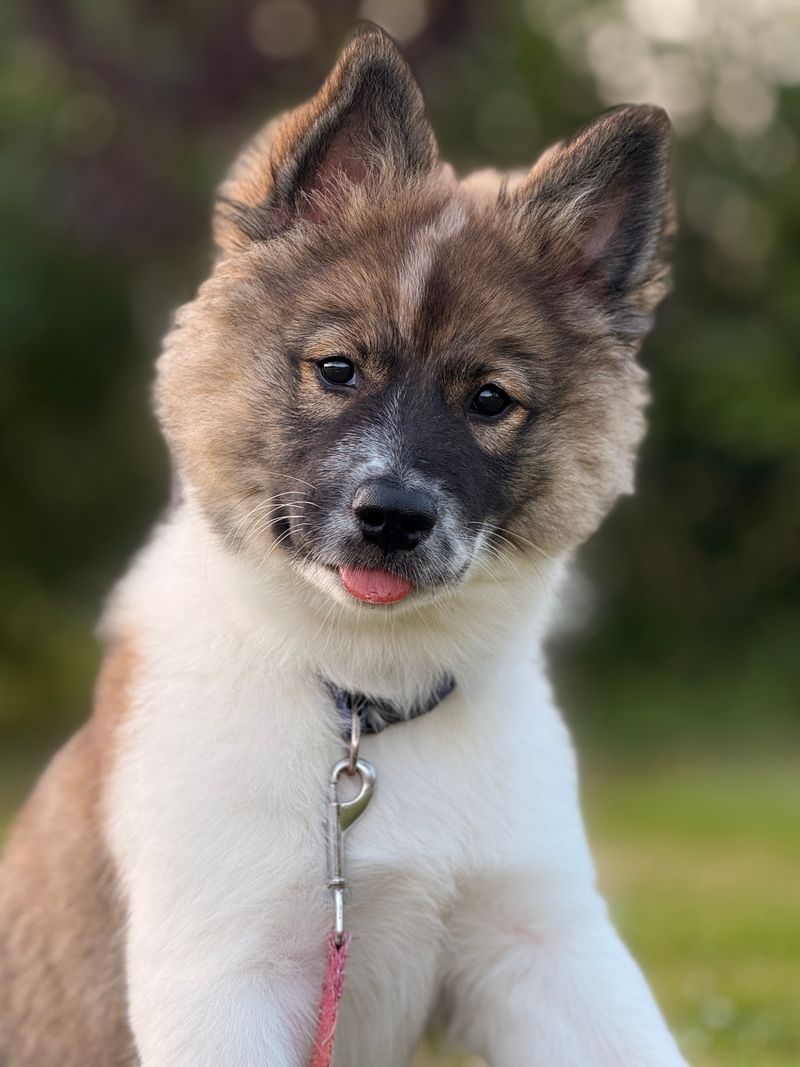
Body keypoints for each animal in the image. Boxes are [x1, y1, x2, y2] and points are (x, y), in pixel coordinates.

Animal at [0, 25, 686, 1067]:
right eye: (336, 368)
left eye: (490, 398)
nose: (393, 516)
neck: (364, 702)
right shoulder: (222, 971)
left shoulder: (540, 938)